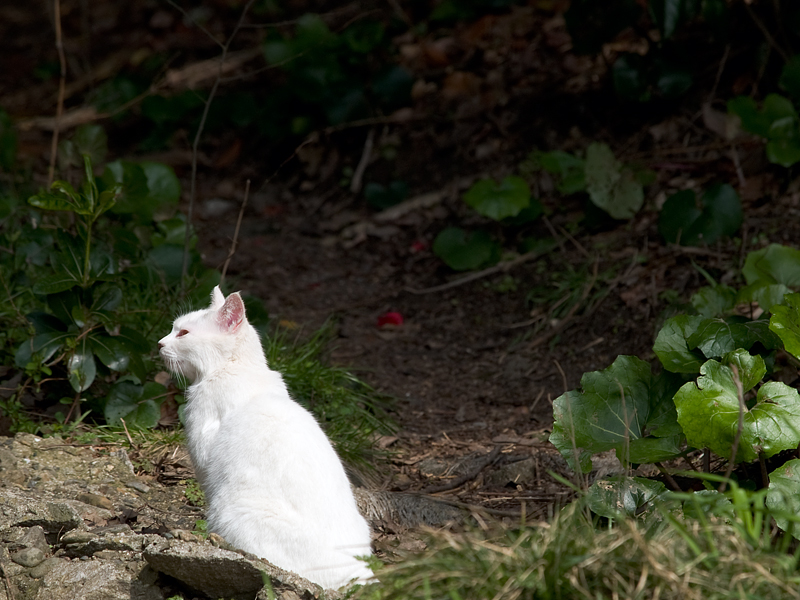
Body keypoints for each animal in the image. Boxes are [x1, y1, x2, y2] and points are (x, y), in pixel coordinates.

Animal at [161, 288, 376, 592]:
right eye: (173, 328)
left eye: (183, 333)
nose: (159, 343)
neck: (235, 369)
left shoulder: (204, 454)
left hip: (232, 510)